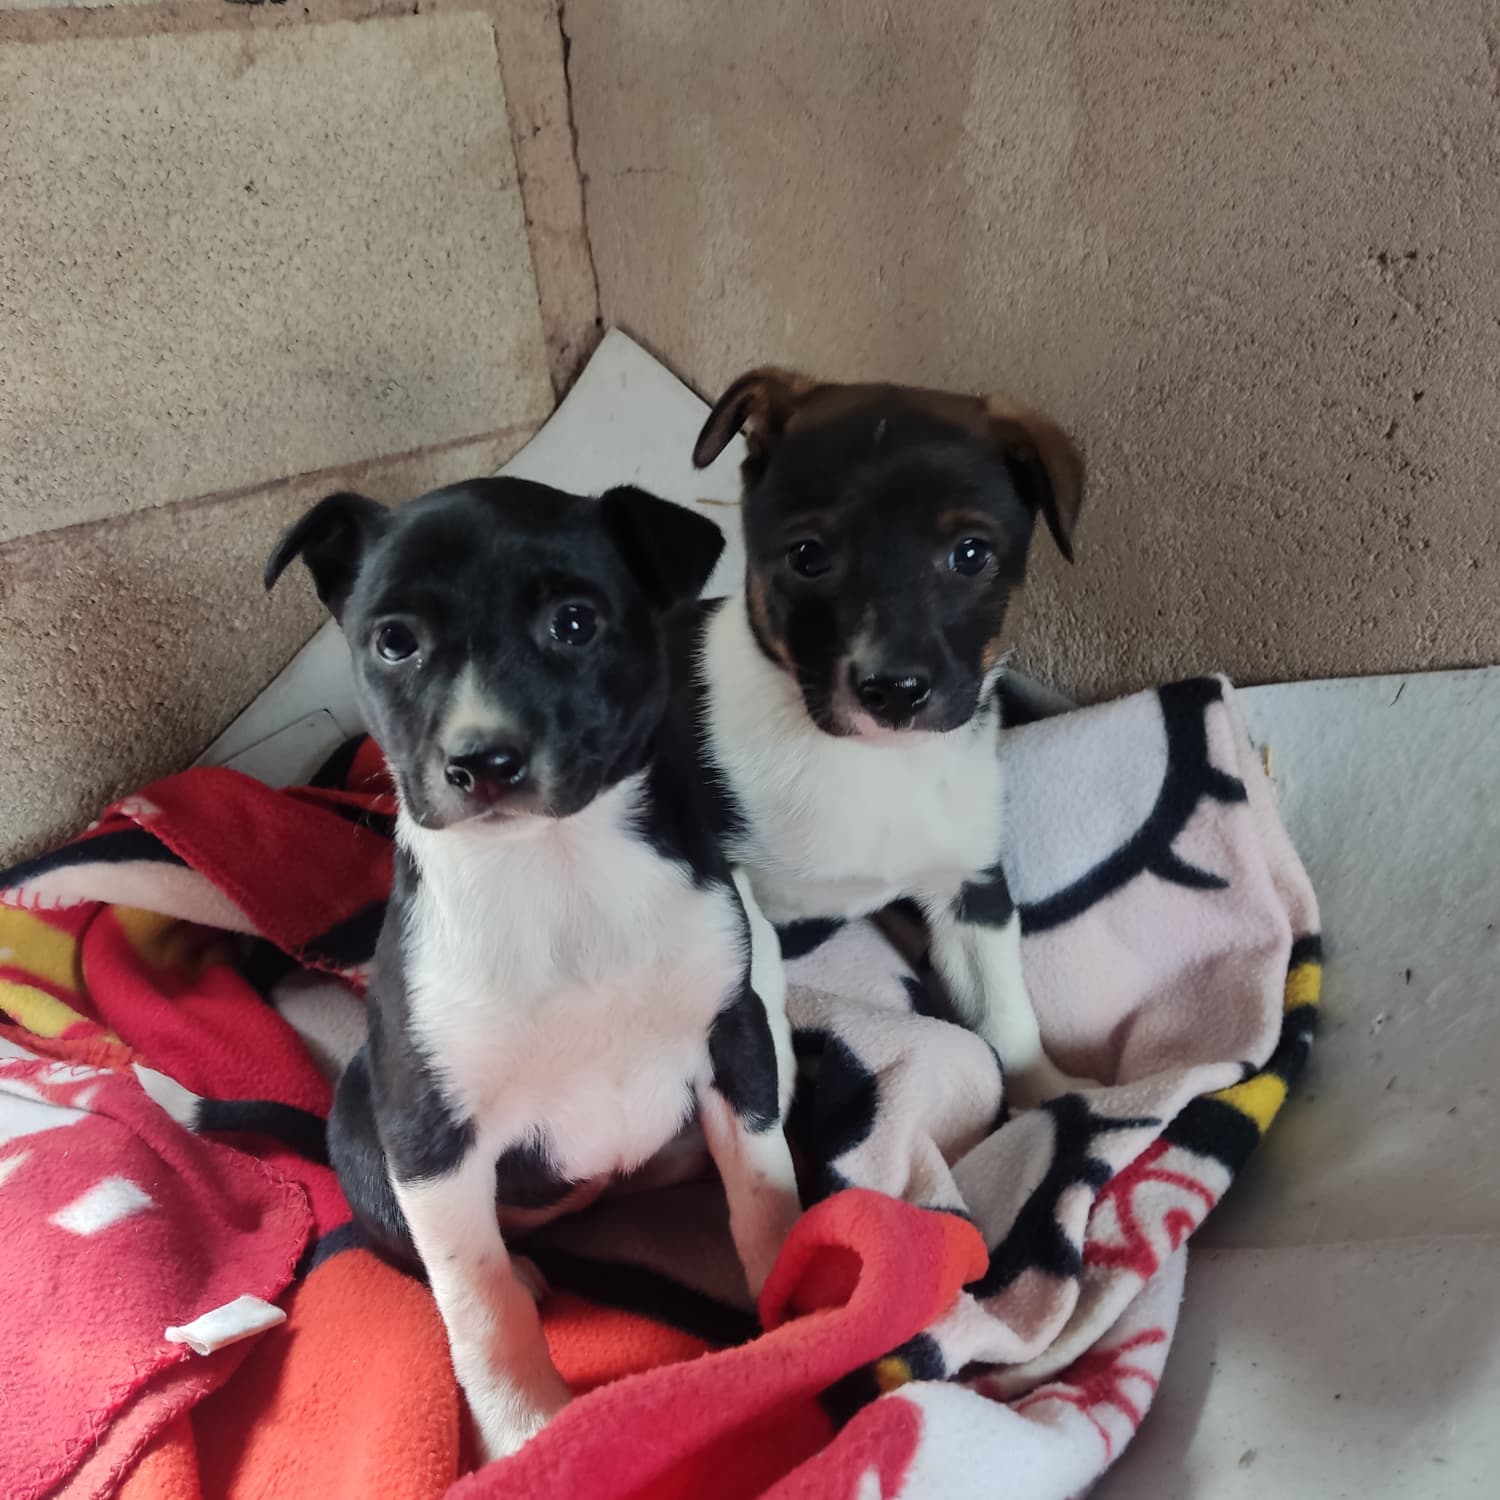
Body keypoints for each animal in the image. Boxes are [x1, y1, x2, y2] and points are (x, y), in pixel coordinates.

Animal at [265, 477, 800, 1461]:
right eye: (394, 640)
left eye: (574, 623)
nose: (481, 761)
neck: (557, 871)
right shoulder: (428, 1132)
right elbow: (479, 1302)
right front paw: (528, 1430)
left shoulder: (734, 1035)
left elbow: (763, 1190)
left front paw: (804, 1298)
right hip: (364, 1123)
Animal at [681, 368, 1086, 1103]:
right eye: (808, 555)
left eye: (970, 554)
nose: (895, 691)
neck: (869, 764)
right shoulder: (726, 879)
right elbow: (760, 987)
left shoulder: (971, 886)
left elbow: (1005, 1010)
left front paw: (1054, 1098)